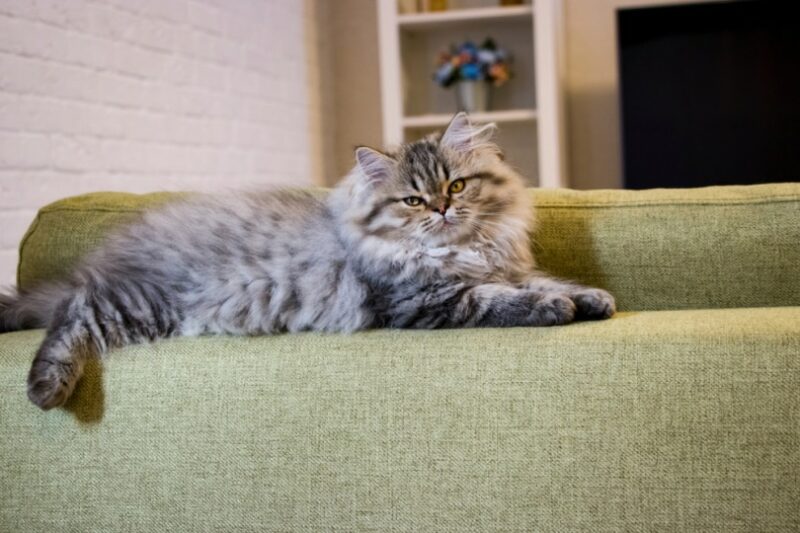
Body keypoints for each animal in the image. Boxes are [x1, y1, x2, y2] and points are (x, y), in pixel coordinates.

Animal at [0, 114, 612, 410]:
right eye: (412, 202)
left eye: (457, 185)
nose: (442, 208)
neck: (459, 249)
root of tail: (107, 256)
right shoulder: (429, 301)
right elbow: (505, 299)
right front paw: (554, 308)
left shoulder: (501, 265)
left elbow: (541, 279)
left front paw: (592, 298)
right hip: (134, 303)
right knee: (74, 314)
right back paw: (46, 388)